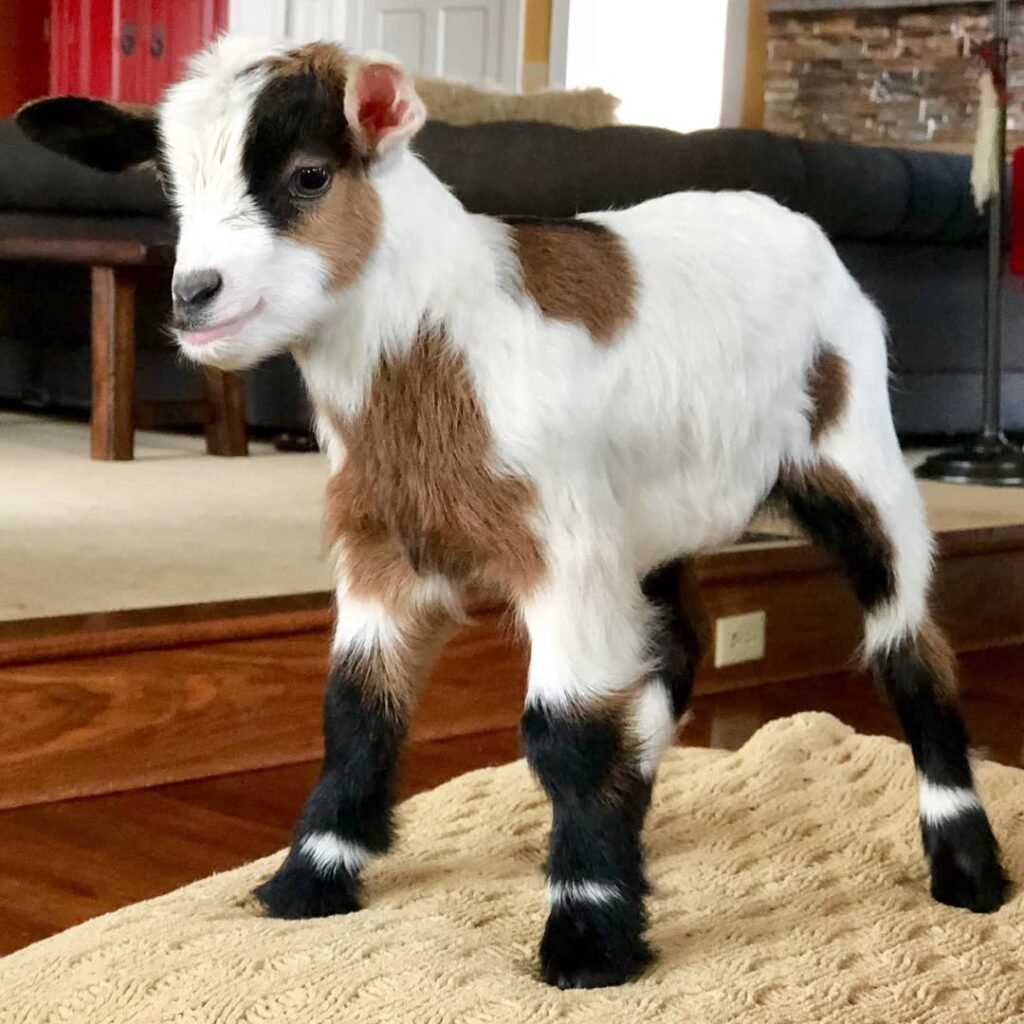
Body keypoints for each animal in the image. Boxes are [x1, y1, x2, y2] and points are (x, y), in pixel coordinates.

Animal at [19, 37, 1008, 989]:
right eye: (170, 185)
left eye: (307, 176)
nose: (195, 297)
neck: (440, 337)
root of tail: (797, 224)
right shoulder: (384, 550)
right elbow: (357, 710)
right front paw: (309, 880)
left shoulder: (560, 547)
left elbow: (563, 731)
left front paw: (586, 939)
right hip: (647, 524)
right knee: (673, 655)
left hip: (858, 457)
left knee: (909, 645)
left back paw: (967, 869)